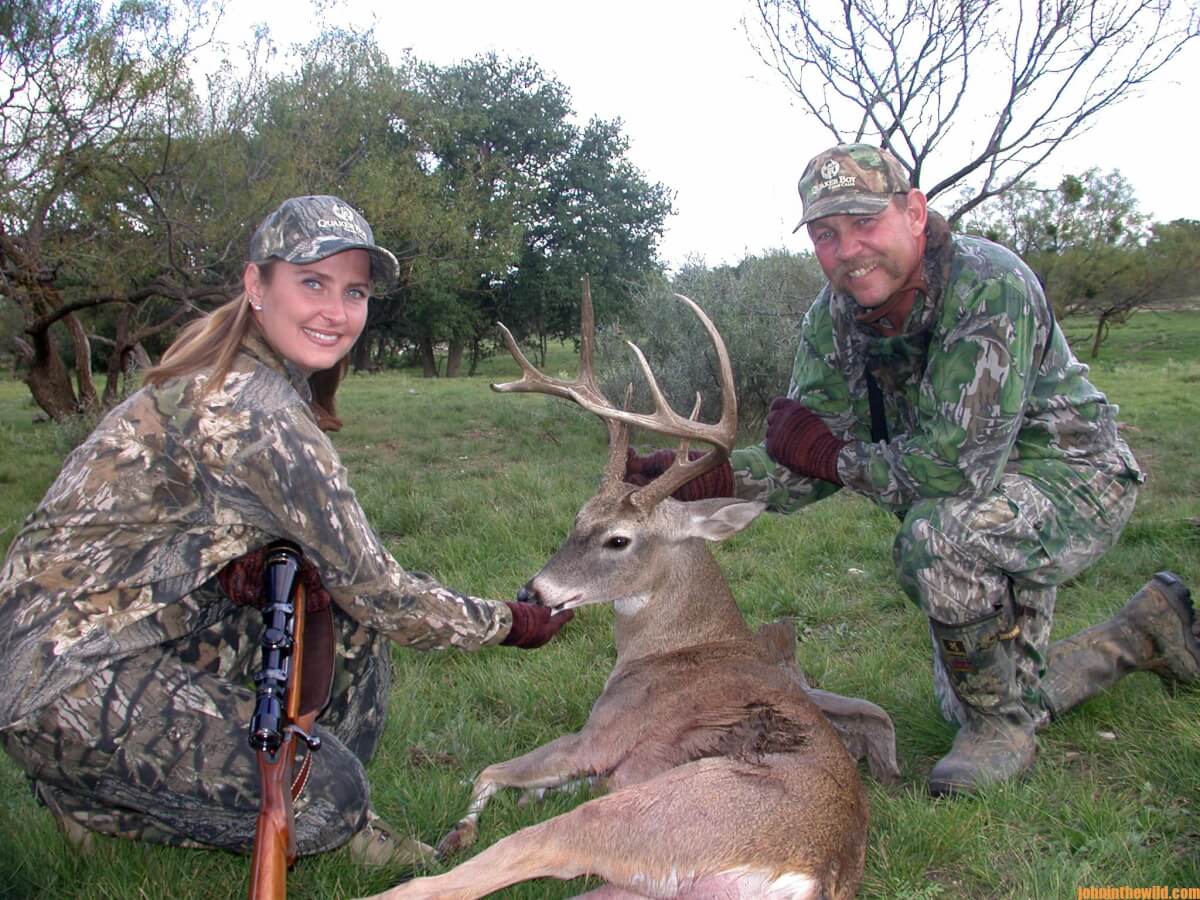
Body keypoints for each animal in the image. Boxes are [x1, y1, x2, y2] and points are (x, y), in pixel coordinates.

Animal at [363, 283, 898, 900]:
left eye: (618, 539)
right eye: (576, 518)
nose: (533, 591)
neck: (677, 645)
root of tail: (808, 873)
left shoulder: (600, 736)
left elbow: (489, 771)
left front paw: (461, 827)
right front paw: (516, 801)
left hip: (645, 815)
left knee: (504, 857)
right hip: (634, 886)